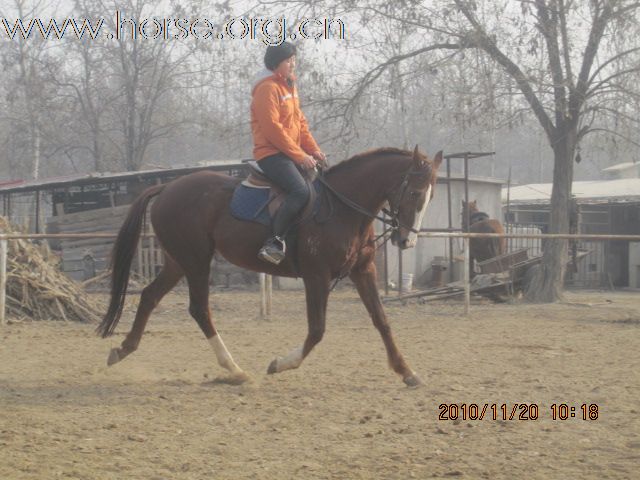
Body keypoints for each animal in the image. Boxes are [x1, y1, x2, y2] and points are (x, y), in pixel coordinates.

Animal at [97, 145, 442, 386]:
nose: (406, 241)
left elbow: (382, 321)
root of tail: (167, 187)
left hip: (178, 261)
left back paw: (123, 349)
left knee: (149, 296)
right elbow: (317, 330)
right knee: (199, 309)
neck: (343, 209)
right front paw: (280, 364)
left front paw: (406, 371)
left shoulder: (362, 271)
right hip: (196, 261)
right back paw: (235, 369)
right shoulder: (316, 277)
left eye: (430, 196)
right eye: (414, 192)